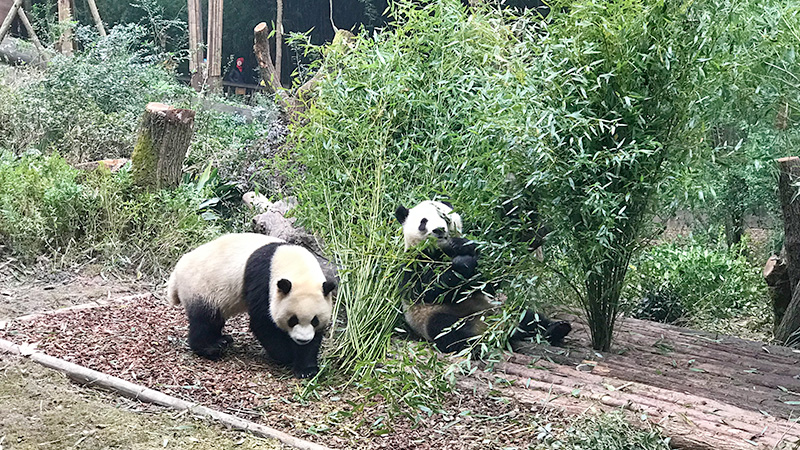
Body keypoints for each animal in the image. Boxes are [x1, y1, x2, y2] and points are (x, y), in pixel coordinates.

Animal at [167, 233, 336, 378]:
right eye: (292, 320)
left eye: (315, 320)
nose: (302, 340)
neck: (296, 266)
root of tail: (176, 272)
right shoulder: (263, 279)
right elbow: (263, 322)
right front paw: (286, 354)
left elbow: (314, 339)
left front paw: (306, 369)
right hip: (201, 288)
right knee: (204, 319)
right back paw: (210, 348)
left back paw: (223, 340)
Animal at [395, 200, 571, 353]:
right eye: (423, 221)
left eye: (444, 216)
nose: (439, 230)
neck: (441, 250)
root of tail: (488, 328)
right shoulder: (414, 263)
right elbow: (426, 290)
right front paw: (462, 264)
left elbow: (488, 279)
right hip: (431, 317)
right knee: (444, 329)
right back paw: (472, 345)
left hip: (500, 309)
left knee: (528, 317)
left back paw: (556, 328)